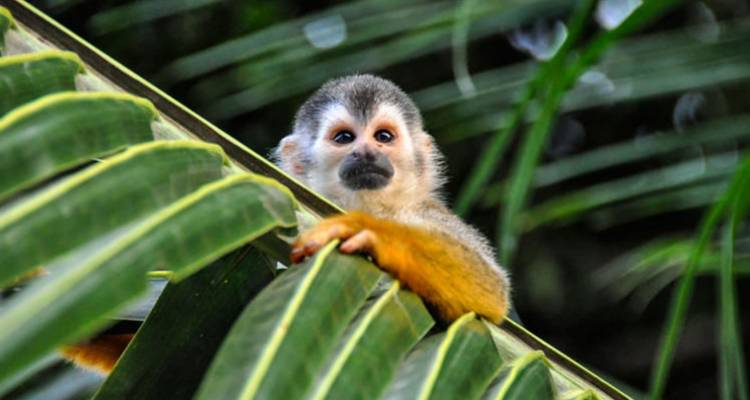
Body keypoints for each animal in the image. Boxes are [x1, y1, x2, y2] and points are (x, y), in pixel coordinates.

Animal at [276, 74, 510, 324]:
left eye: (383, 137)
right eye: (344, 137)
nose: (366, 152)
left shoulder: (428, 211)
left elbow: (492, 289)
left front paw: (370, 231)